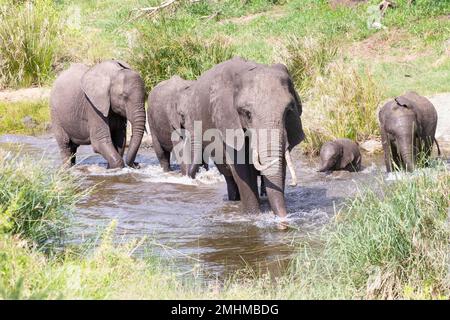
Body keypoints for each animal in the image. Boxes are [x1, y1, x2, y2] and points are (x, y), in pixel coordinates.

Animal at [178, 57, 304, 218]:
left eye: (288, 111)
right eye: (247, 114)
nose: (283, 218)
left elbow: (280, 165)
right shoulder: (227, 120)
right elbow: (241, 168)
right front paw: (252, 216)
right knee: (229, 176)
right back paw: (235, 200)